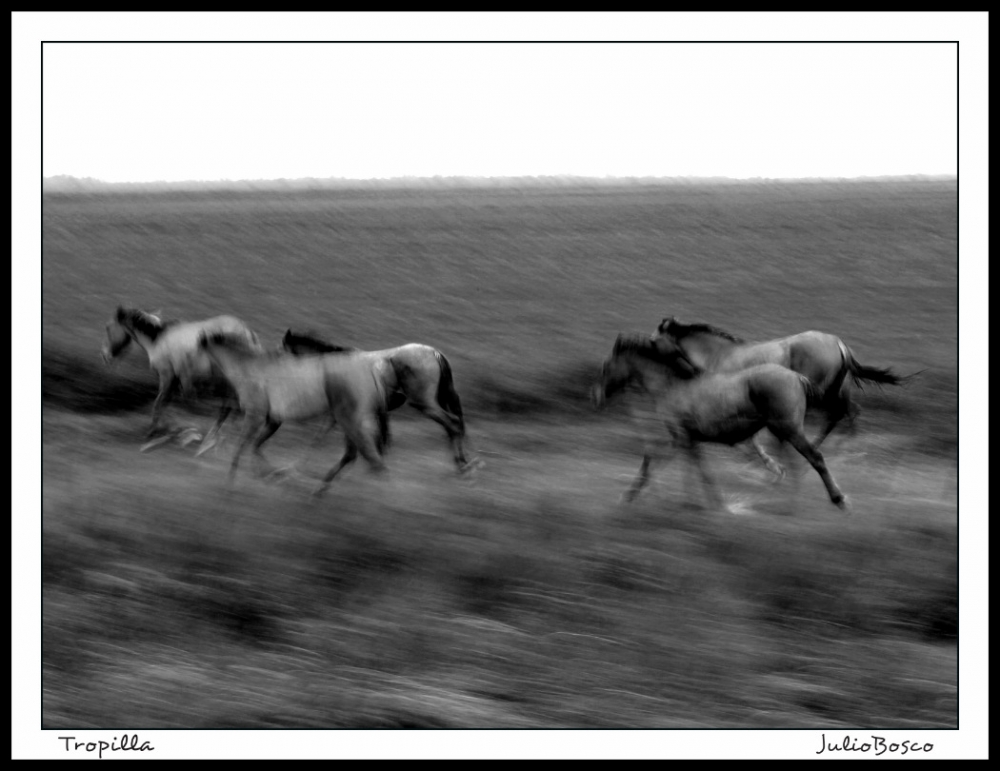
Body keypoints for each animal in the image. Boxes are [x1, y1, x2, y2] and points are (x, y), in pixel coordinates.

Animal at [98, 306, 258, 450]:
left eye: (107, 327)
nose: (105, 357)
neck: (157, 340)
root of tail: (247, 333)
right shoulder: (176, 381)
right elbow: (168, 404)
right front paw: (171, 431)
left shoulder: (166, 376)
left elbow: (159, 404)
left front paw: (153, 434)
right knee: (232, 408)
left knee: (229, 408)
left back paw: (211, 441)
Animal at [278, 330, 472, 474]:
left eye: (284, 353)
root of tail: (434, 353)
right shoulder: (353, 415)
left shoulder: (343, 415)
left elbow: (320, 438)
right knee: (452, 426)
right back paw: (462, 463)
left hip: (425, 404)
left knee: (453, 423)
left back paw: (461, 464)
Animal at [588, 332, 848, 512]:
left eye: (606, 366)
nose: (596, 398)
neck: (672, 388)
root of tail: (796, 377)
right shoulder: (690, 440)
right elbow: (699, 471)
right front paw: (708, 503)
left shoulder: (679, 438)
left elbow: (651, 460)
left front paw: (628, 496)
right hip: (782, 432)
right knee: (794, 464)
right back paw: (787, 502)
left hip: (789, 429)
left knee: (815, 458)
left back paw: (837, 500)